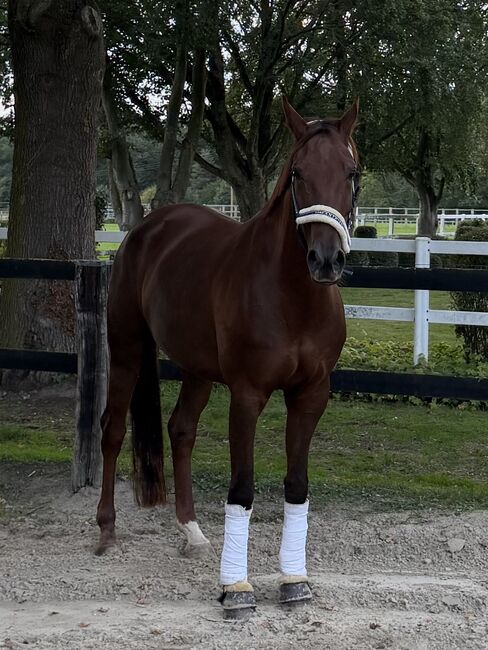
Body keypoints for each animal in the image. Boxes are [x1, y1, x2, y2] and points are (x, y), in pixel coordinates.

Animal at [96, 97, 360, 620]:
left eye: (351, 173)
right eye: (297, 173)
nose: (325, 260)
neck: (292, 297)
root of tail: (147, 228)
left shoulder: (311, 396)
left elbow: (296, 485)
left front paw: (294, 580)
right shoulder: (247, 394)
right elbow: (242, 489)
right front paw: (236, 589)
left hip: (198, 370)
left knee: (180, 430)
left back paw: (192, 532)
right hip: (129, 349)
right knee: (112, 430)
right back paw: (107, 530)